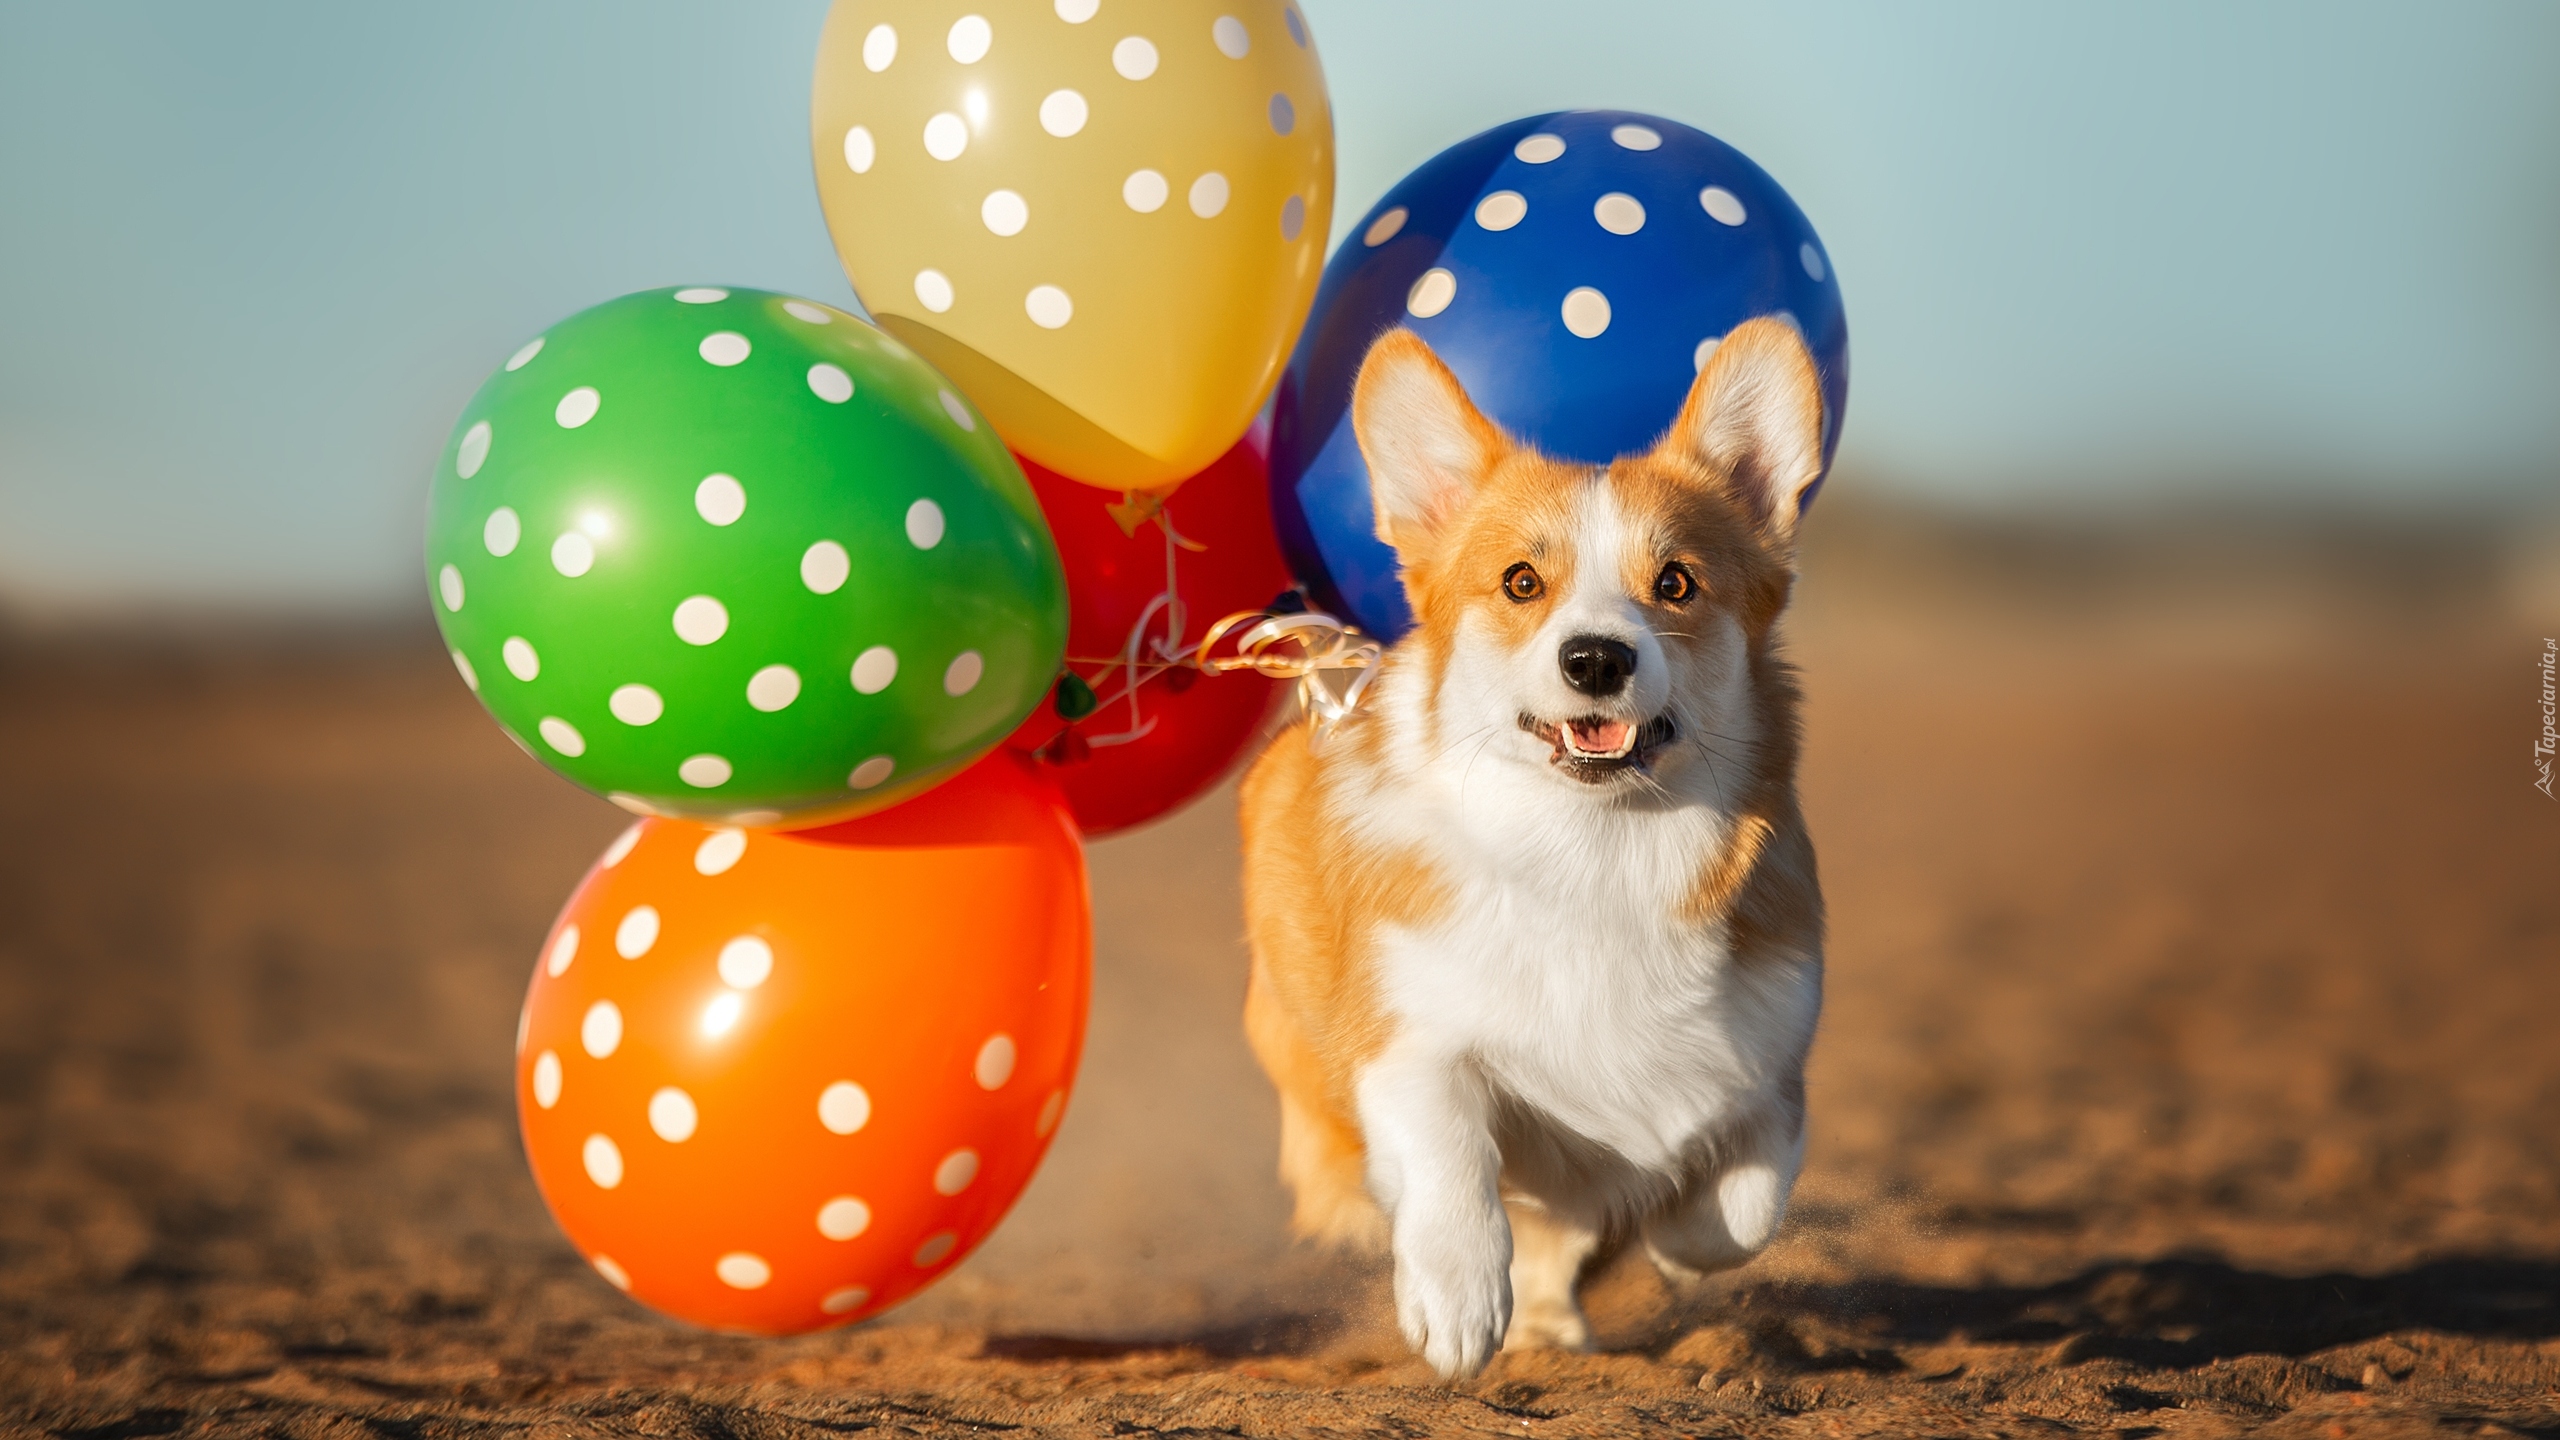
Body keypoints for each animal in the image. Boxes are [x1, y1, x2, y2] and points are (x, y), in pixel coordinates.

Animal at [1233, 319, 1822, 1373]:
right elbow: (1451, 1147)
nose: (1595, 658)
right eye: (1521, 583)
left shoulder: (1774, 1060)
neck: (1594, 851)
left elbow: (1746, 1199)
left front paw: (1675, 1245)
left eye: (1675, 582)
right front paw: (1457, 1299)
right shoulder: (1406, 1038)